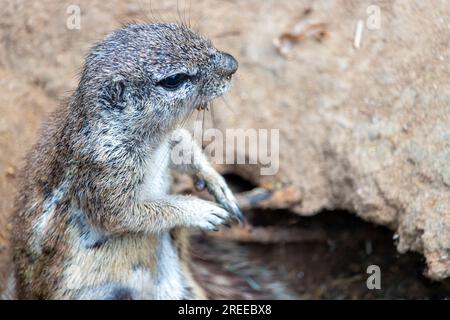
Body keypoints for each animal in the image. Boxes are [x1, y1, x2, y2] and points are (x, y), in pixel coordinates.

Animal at [9, 23, 243, 300]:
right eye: (174, 80)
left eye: (187, 31)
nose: (232, 64)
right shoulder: (107, 171)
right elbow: (126, 214)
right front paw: (201, 210)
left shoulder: (167, 138)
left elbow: (183, 144)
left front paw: (216, 182)